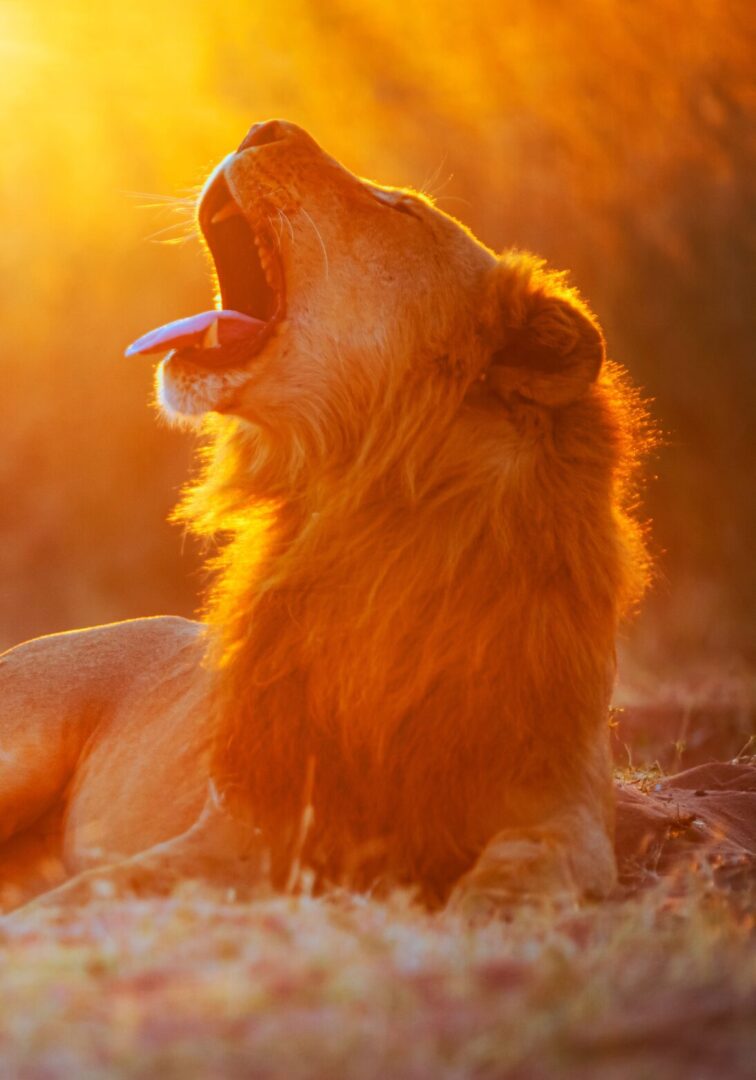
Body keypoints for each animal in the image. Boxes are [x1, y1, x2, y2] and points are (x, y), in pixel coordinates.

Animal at [0, 120, 651, 914]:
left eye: (404, 211)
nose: (264, 126)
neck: (372, 528)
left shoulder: (565, 805)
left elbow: (531, 859)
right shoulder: (249, 818)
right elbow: (100, 889)